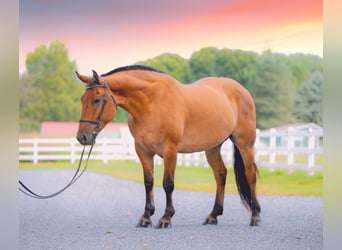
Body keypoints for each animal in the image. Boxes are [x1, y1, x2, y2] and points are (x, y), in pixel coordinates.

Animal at [76, 65, 260, 229]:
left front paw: (166, 218)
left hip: (245, 144)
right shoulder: (143, 151)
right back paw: (213, 215)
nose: (82, 137)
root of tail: (242, 90)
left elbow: (168, 183)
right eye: (82, 100)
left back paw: (255, 215)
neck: (152, 103)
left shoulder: (170, 150)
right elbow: (148, 182)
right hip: (212, 147)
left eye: (96, 100)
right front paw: (146, 217)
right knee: (220, 174)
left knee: (250, 175)